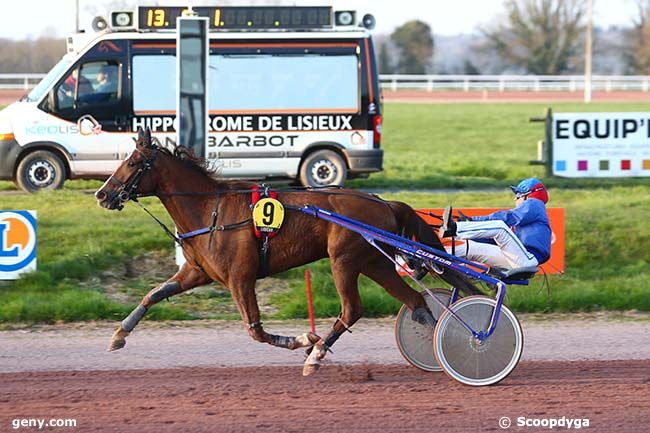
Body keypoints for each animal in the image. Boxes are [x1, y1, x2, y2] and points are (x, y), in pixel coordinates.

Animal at [95, 128, 466, 374]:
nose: (102, 194)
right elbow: (153, 294)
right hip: (376, 263)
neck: (210, 211)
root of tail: (383, 202)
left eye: (134, 162)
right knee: (415, 302)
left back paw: (317, 354)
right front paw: (118, 335)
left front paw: (303, 340)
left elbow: (255, 330)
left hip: (344, 260)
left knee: (352, 309)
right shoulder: (197, 272)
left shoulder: (240, 278)